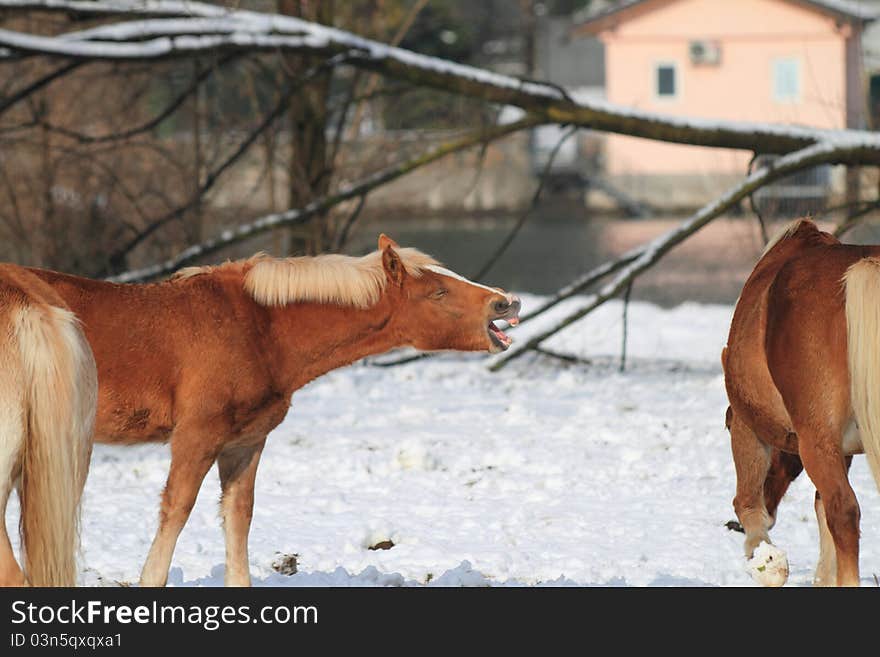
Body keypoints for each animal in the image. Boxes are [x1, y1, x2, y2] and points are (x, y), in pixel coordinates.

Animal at [31, 234, 520, 584]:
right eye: (437, 292)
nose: (506, 301)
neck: (258, 329)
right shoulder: (196, 437)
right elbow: (176, 512)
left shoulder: (244, 444)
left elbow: (238, 520)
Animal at [720, 219, 880, 584]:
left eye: (727, 426)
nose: (733, 528)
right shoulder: (842, 450)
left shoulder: (748, 427)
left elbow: (748, 504)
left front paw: (767, 561)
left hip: (813, 441)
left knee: (843, 511)